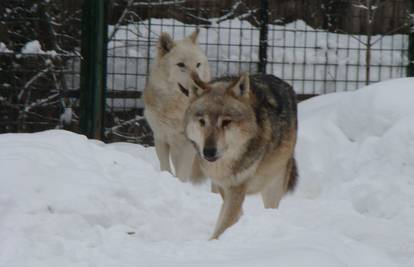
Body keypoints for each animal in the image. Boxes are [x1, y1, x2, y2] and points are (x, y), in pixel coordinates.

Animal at [184, 72, 298, 240]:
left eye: (226, 122)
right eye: (202, 121)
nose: (208, 152)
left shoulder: (237, 187)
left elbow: (224, 223)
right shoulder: (223, 185)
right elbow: (228, 216)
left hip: (273, 185)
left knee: (271, 207)